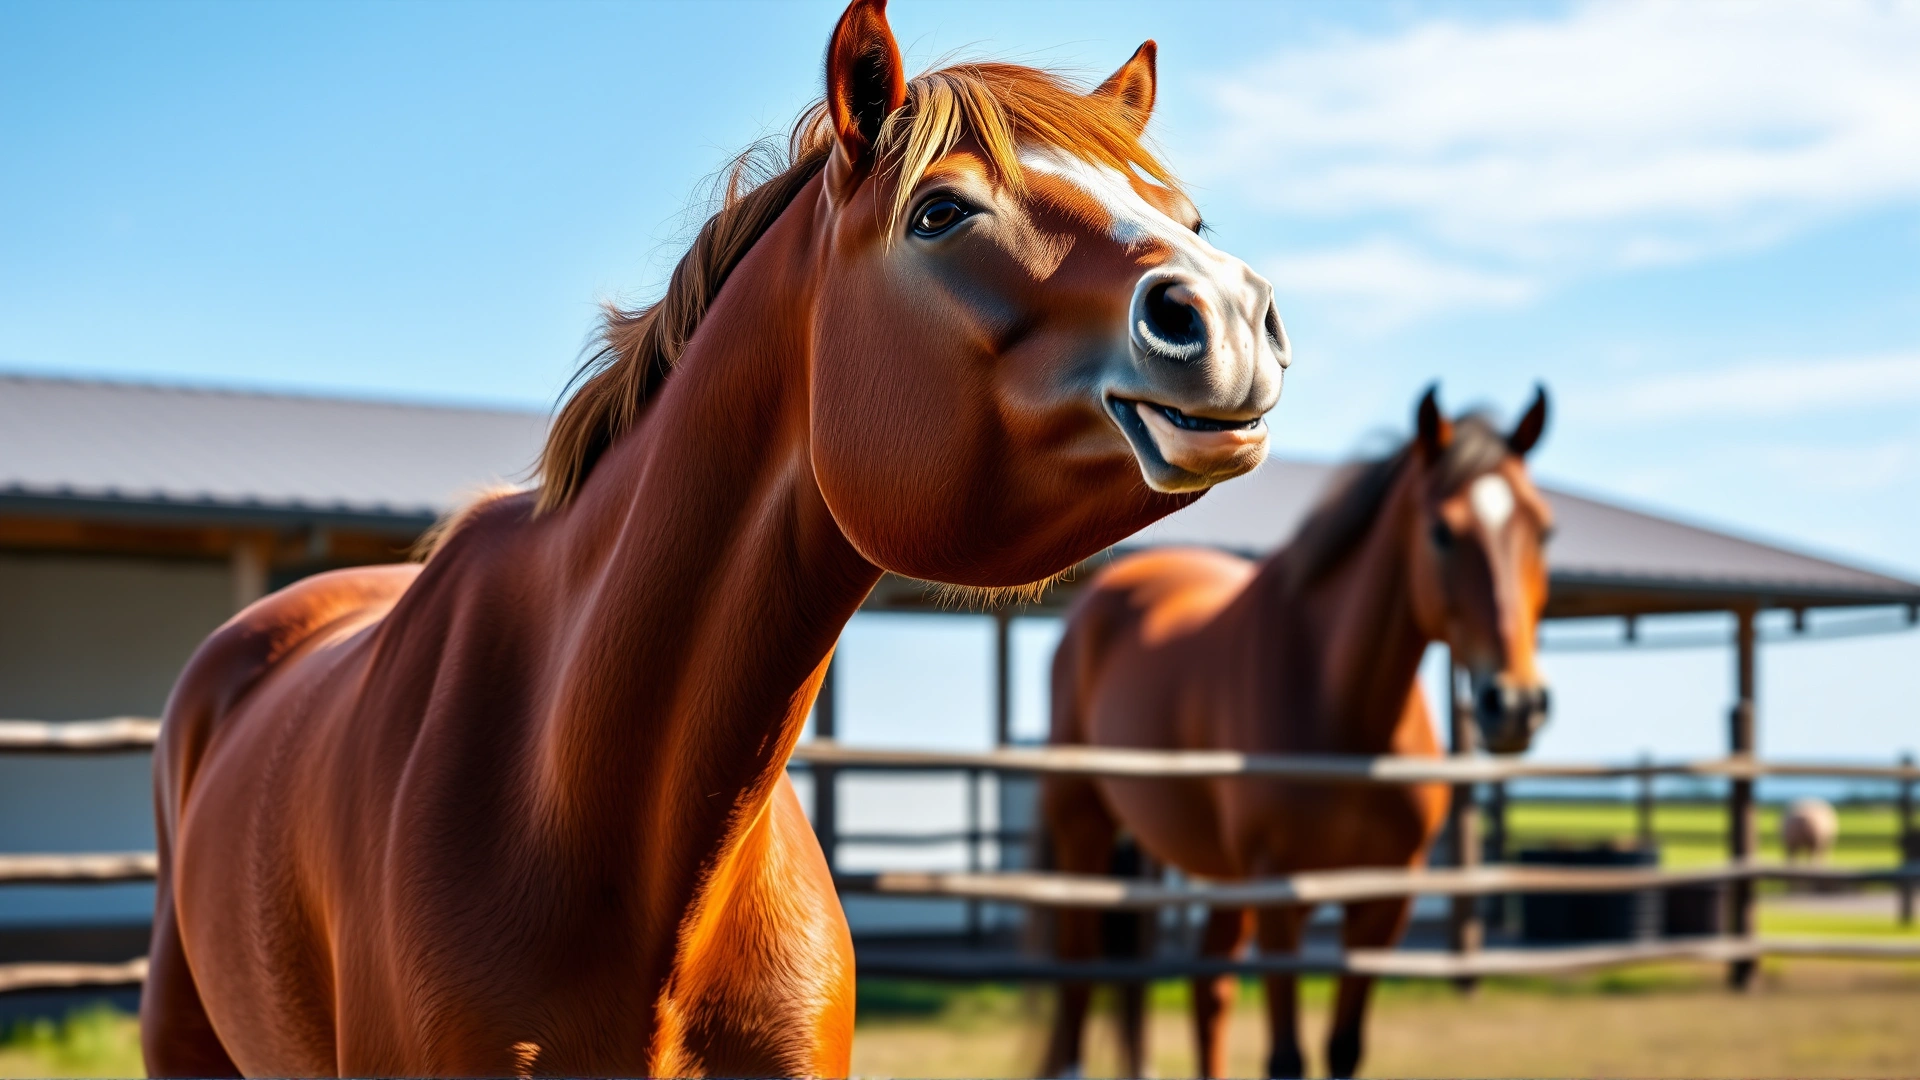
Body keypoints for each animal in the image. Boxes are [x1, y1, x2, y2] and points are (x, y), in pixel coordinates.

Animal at [1041, 386, 1553, 1079]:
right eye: (1442, 532)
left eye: (1544, 530)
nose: (1516, 704)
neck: (1341, 709)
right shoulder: (1282, 900)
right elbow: (1287, 1057)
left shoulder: (1382, 904)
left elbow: (1342, 1050)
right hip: (1085, 834)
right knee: (1078, 980)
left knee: (1209, 990)